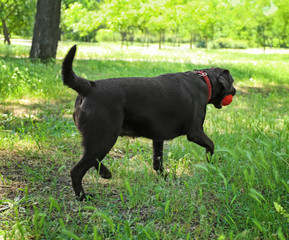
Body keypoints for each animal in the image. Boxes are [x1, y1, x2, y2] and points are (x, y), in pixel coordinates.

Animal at [62, 45, 235, 201]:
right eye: (232, 81)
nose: (235, 91)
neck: (204, 81)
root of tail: (88, 87)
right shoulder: (195, 132)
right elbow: (211, 144)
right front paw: (211, 163)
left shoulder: (158, 138)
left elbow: (157, 161)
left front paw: (165, 176)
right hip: (104, 137)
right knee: (77, 170)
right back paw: (83, 196)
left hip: (97, 139)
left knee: (91, 159)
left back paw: (105, 173)